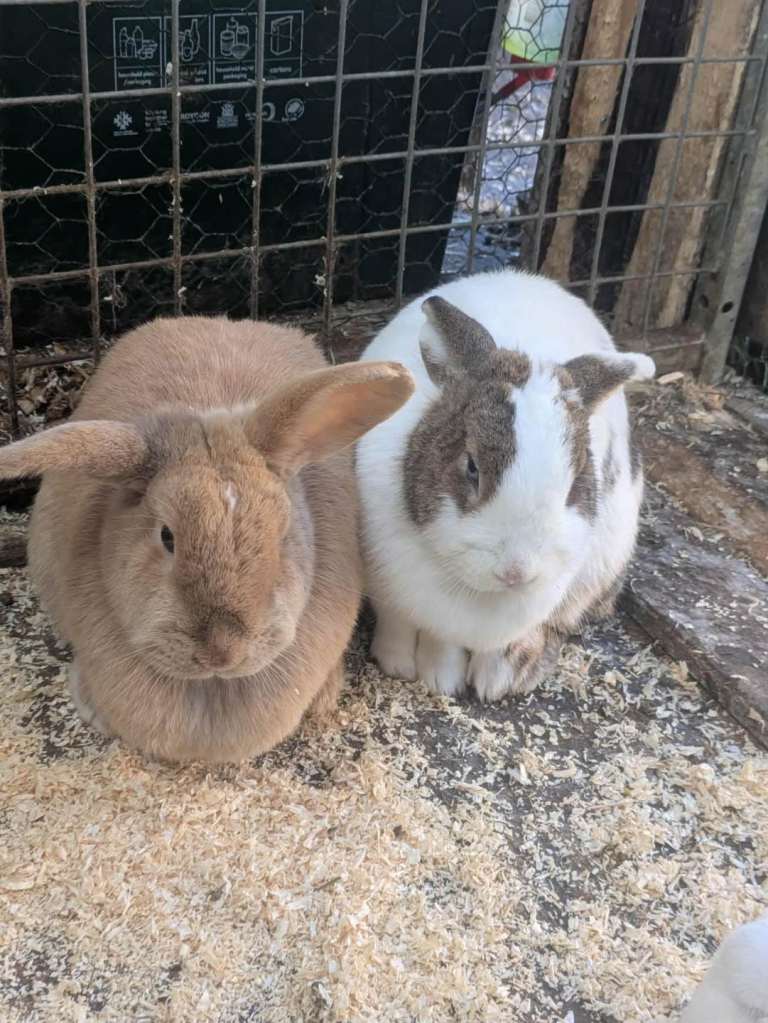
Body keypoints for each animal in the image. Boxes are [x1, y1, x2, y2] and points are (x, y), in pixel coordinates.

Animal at [355, 269, 655, 701]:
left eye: (576, 482)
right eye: (472, 467)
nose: (516, 572)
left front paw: (488, 682)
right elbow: (426, 633)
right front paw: (430, 676)